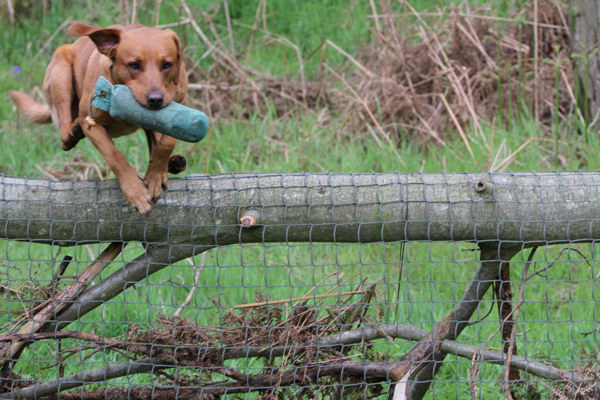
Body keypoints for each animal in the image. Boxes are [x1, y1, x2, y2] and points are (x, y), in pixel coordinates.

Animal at [10, 22, 189, 216]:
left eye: (167, 65)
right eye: (134, 65)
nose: (155, 100)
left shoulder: (180, 100)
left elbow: (167, 142)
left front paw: (155, 176)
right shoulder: (91, 123)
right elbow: (114, 156)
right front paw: (136, 192)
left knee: (155, 140)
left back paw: (172, 163)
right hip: (61, 72)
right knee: (64, 135)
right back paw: (74, 132)